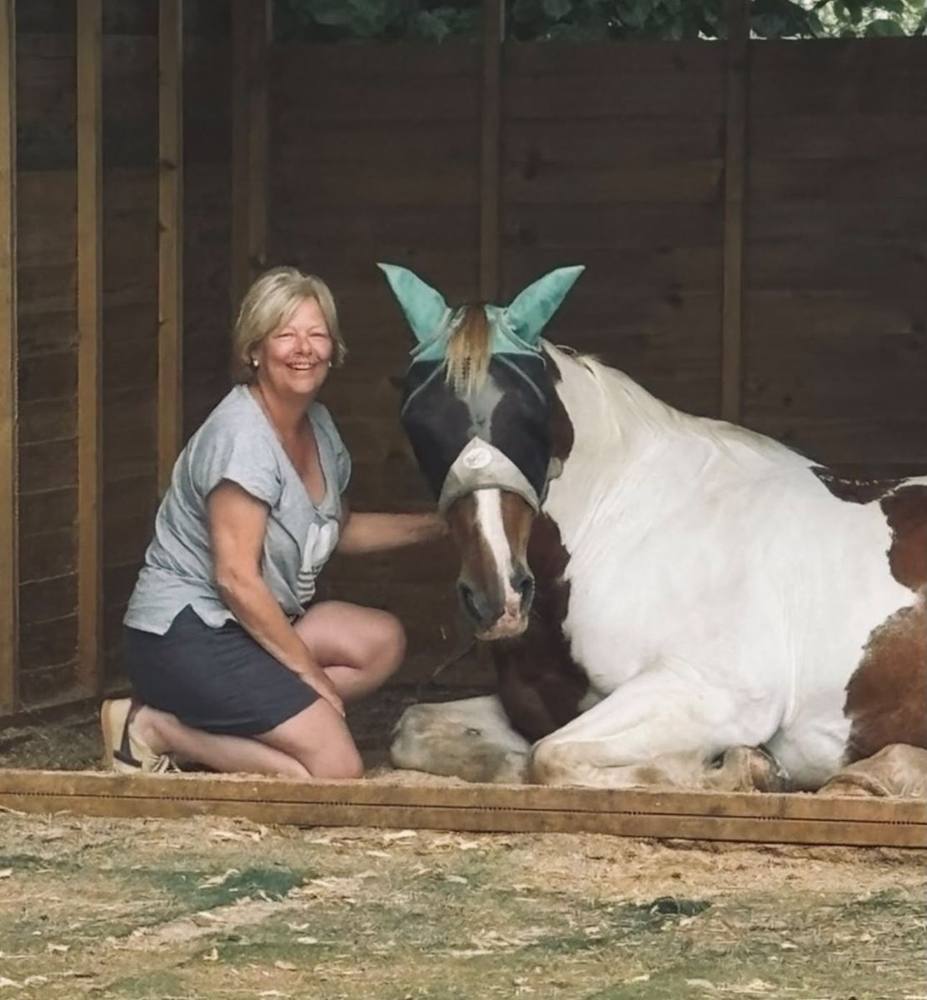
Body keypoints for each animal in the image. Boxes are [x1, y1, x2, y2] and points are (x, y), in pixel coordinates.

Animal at [378, 263, 927, 797]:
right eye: (419, 421)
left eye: (530, 416)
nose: (499, 597)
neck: (627, 523)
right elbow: (415, 727)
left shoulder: (712, 692)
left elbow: (551, 756)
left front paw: (737, 771)